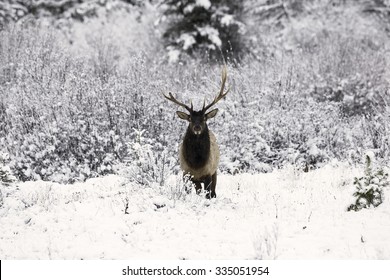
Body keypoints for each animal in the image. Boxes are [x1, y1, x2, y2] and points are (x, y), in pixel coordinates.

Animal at [164, 66, 229, 199]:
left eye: (204, 118)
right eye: (190, 119)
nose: (197, 127)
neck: (196, 165)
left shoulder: (208, 173)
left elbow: (208, 194)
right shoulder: (186, 173)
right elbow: (188, 191)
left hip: (215, 170)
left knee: (213, 192)